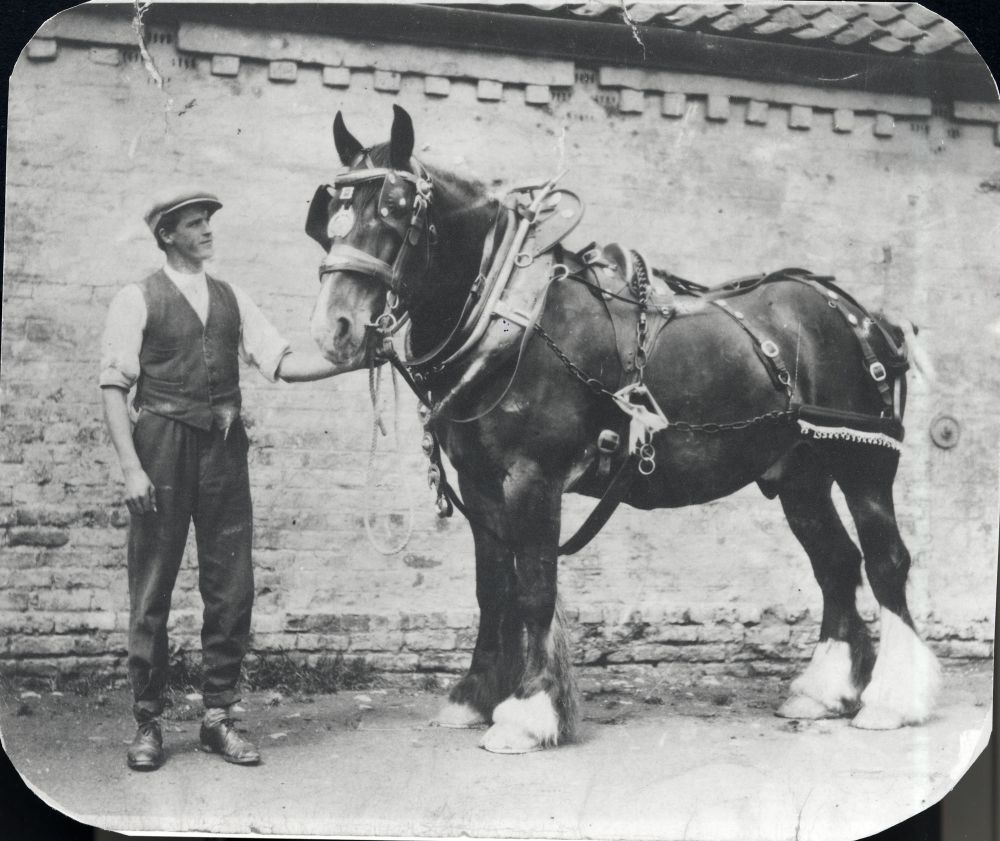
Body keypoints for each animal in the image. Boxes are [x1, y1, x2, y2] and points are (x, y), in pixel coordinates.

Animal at [308, 106, 940, 756]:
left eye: (395, 210)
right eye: (328, 216)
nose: (335, 327)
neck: (510, 320)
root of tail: (865, 316)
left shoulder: (534, 479)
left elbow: (534, 589)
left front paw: (527, 712)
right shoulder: (480, 483)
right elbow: (494, 589)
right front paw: (475, 696)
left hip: (863, 463)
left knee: (886, 561)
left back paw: (891, 701)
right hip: (800, 477)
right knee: (836, 563)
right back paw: (823, 691)